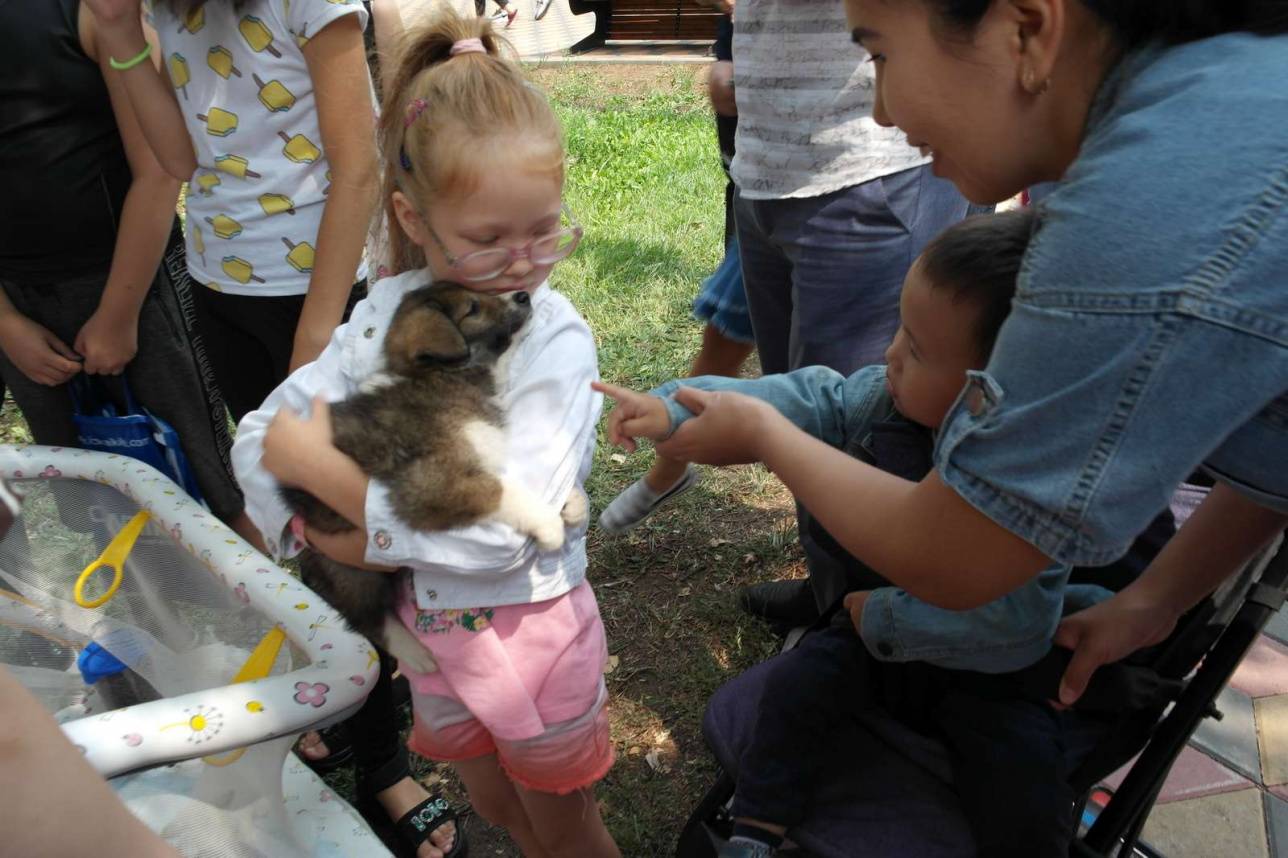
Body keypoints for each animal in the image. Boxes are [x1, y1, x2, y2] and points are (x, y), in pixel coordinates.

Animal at [284, 280, 587, 669]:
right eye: (472, 308)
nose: (522, 295)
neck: (449, 379)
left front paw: (573, 501)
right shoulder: (434, 484)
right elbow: (501, 490)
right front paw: (548, 524)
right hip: (348, 568)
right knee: (367, 618)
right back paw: (418, 656)